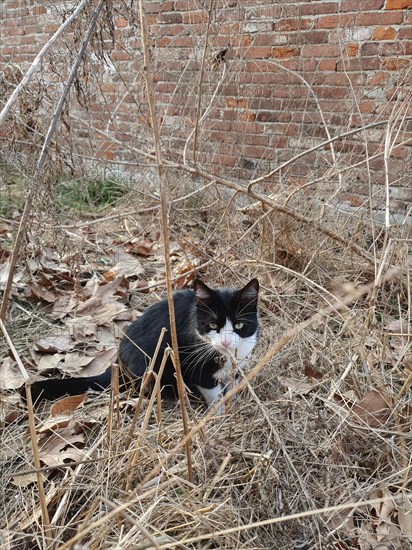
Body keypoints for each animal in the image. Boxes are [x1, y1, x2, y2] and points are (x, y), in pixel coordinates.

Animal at [22, 280, 260, 410]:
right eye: (212, 324)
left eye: (239, 324)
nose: (226, 342)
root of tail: (118, 364)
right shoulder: (195, 364)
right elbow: (213, 392)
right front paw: (218, 413)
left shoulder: (238, 364)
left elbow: (232, 384)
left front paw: (234, 402)